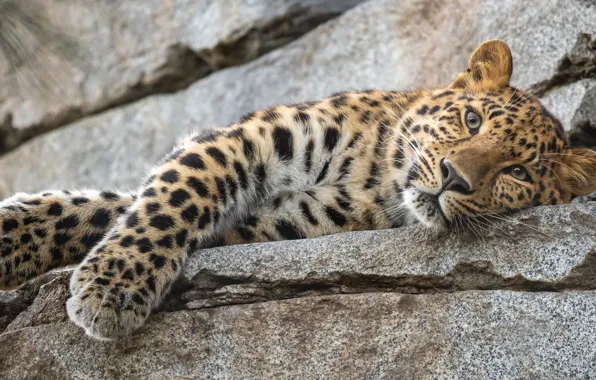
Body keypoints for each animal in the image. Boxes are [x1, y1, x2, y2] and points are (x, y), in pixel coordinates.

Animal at [1, 40, 596, 340]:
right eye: (472, 120)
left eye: (517, 174)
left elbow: (132, 212)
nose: (454, 176)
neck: (376, 169)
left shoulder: (278, 224)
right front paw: (102, 278)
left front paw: (109, 290)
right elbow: (159, 199)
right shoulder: (247, 141)